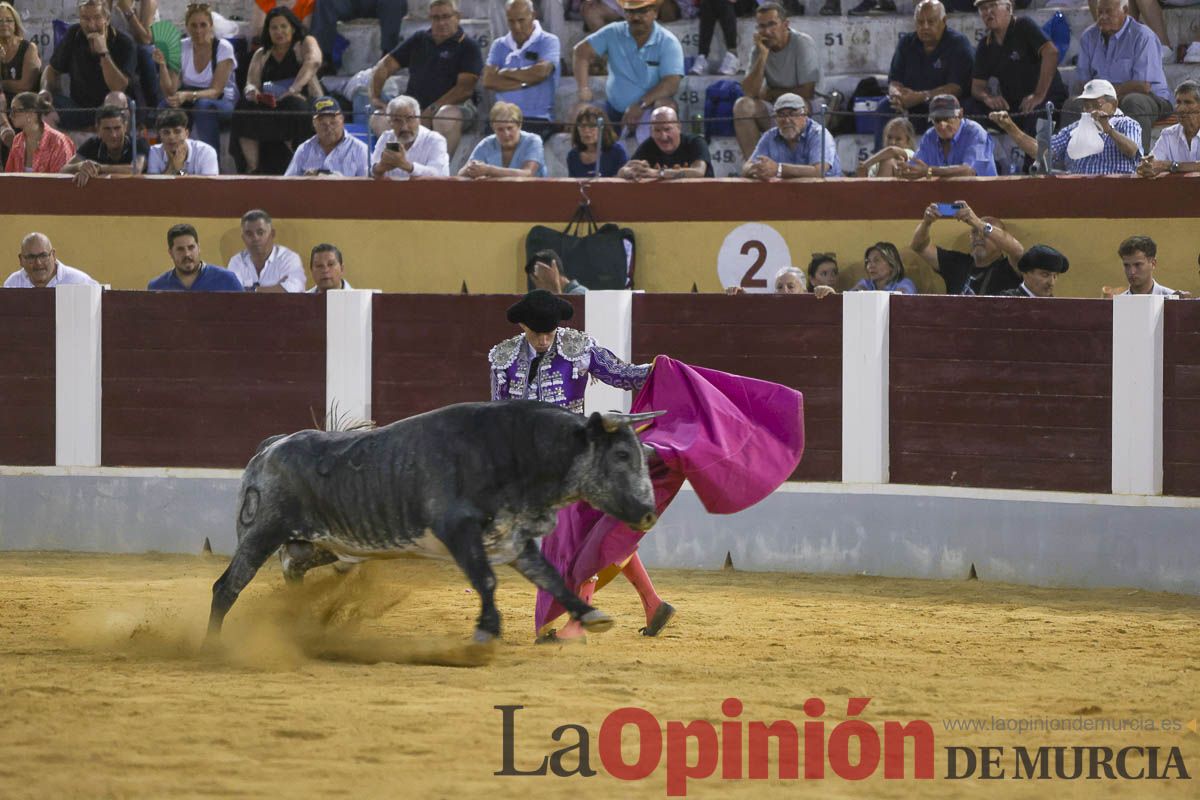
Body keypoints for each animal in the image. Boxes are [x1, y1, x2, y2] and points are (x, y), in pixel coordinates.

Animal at [202, 398, 662, 642]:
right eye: (622, 455)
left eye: (643, 455)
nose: (647, 513)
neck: (513, 450)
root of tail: (272, 446)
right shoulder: (458, 531)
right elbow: (486, 579)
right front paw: (486, 630)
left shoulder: (515, 540)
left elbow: (551, 577)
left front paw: (591, 615)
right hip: (262, 531)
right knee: (227, 586)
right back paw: (212, 646)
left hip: (325, 544)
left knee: (290, 567)